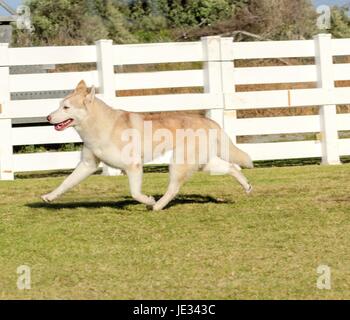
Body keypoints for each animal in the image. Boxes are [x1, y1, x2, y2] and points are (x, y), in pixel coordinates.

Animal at [41, 79, 254, 210]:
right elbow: (66, 182)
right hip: (202, 163)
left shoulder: (133, 166)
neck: (100, 126)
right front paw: (50, 196)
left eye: (66, 107)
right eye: (59, 105)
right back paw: (247, 186)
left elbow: (135, 193)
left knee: (174, 188)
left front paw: (149, 200)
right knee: (232, 167)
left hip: (179, 164)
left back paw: (158, 206)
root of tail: (209, 121)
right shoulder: (87, 165)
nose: (48, 117)